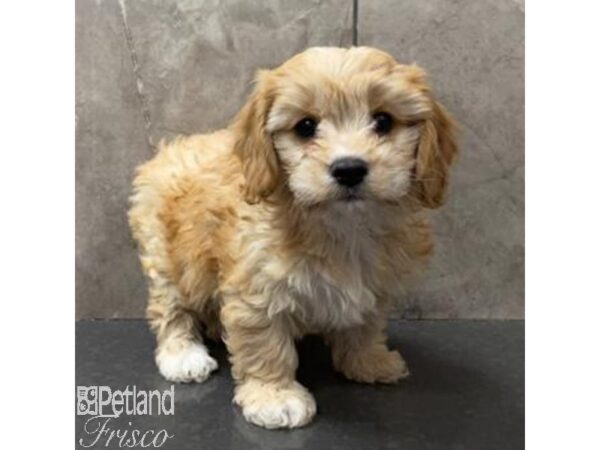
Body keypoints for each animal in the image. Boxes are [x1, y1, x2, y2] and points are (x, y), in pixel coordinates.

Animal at [130, 45, 460, 428]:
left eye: (383, 121)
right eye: (305, 127)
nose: (349, 169)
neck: (341, 228)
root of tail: (168, 151)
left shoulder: (376, 285)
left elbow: (366, 325)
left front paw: (368, 361)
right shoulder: (256, 289)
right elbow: (265, 344)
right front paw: (275, 397)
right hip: (164, 253)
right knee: (169, 306)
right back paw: (182, 355)